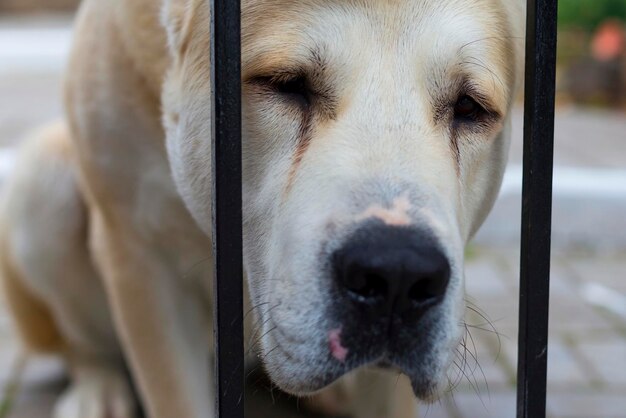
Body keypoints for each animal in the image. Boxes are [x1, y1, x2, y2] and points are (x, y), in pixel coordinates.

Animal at [1, 0, 520, 416]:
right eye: (284, 84)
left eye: (469, 108)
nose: (398, 273)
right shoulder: (142, 255)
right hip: (40, 180)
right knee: (80, 346)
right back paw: (99, 389)